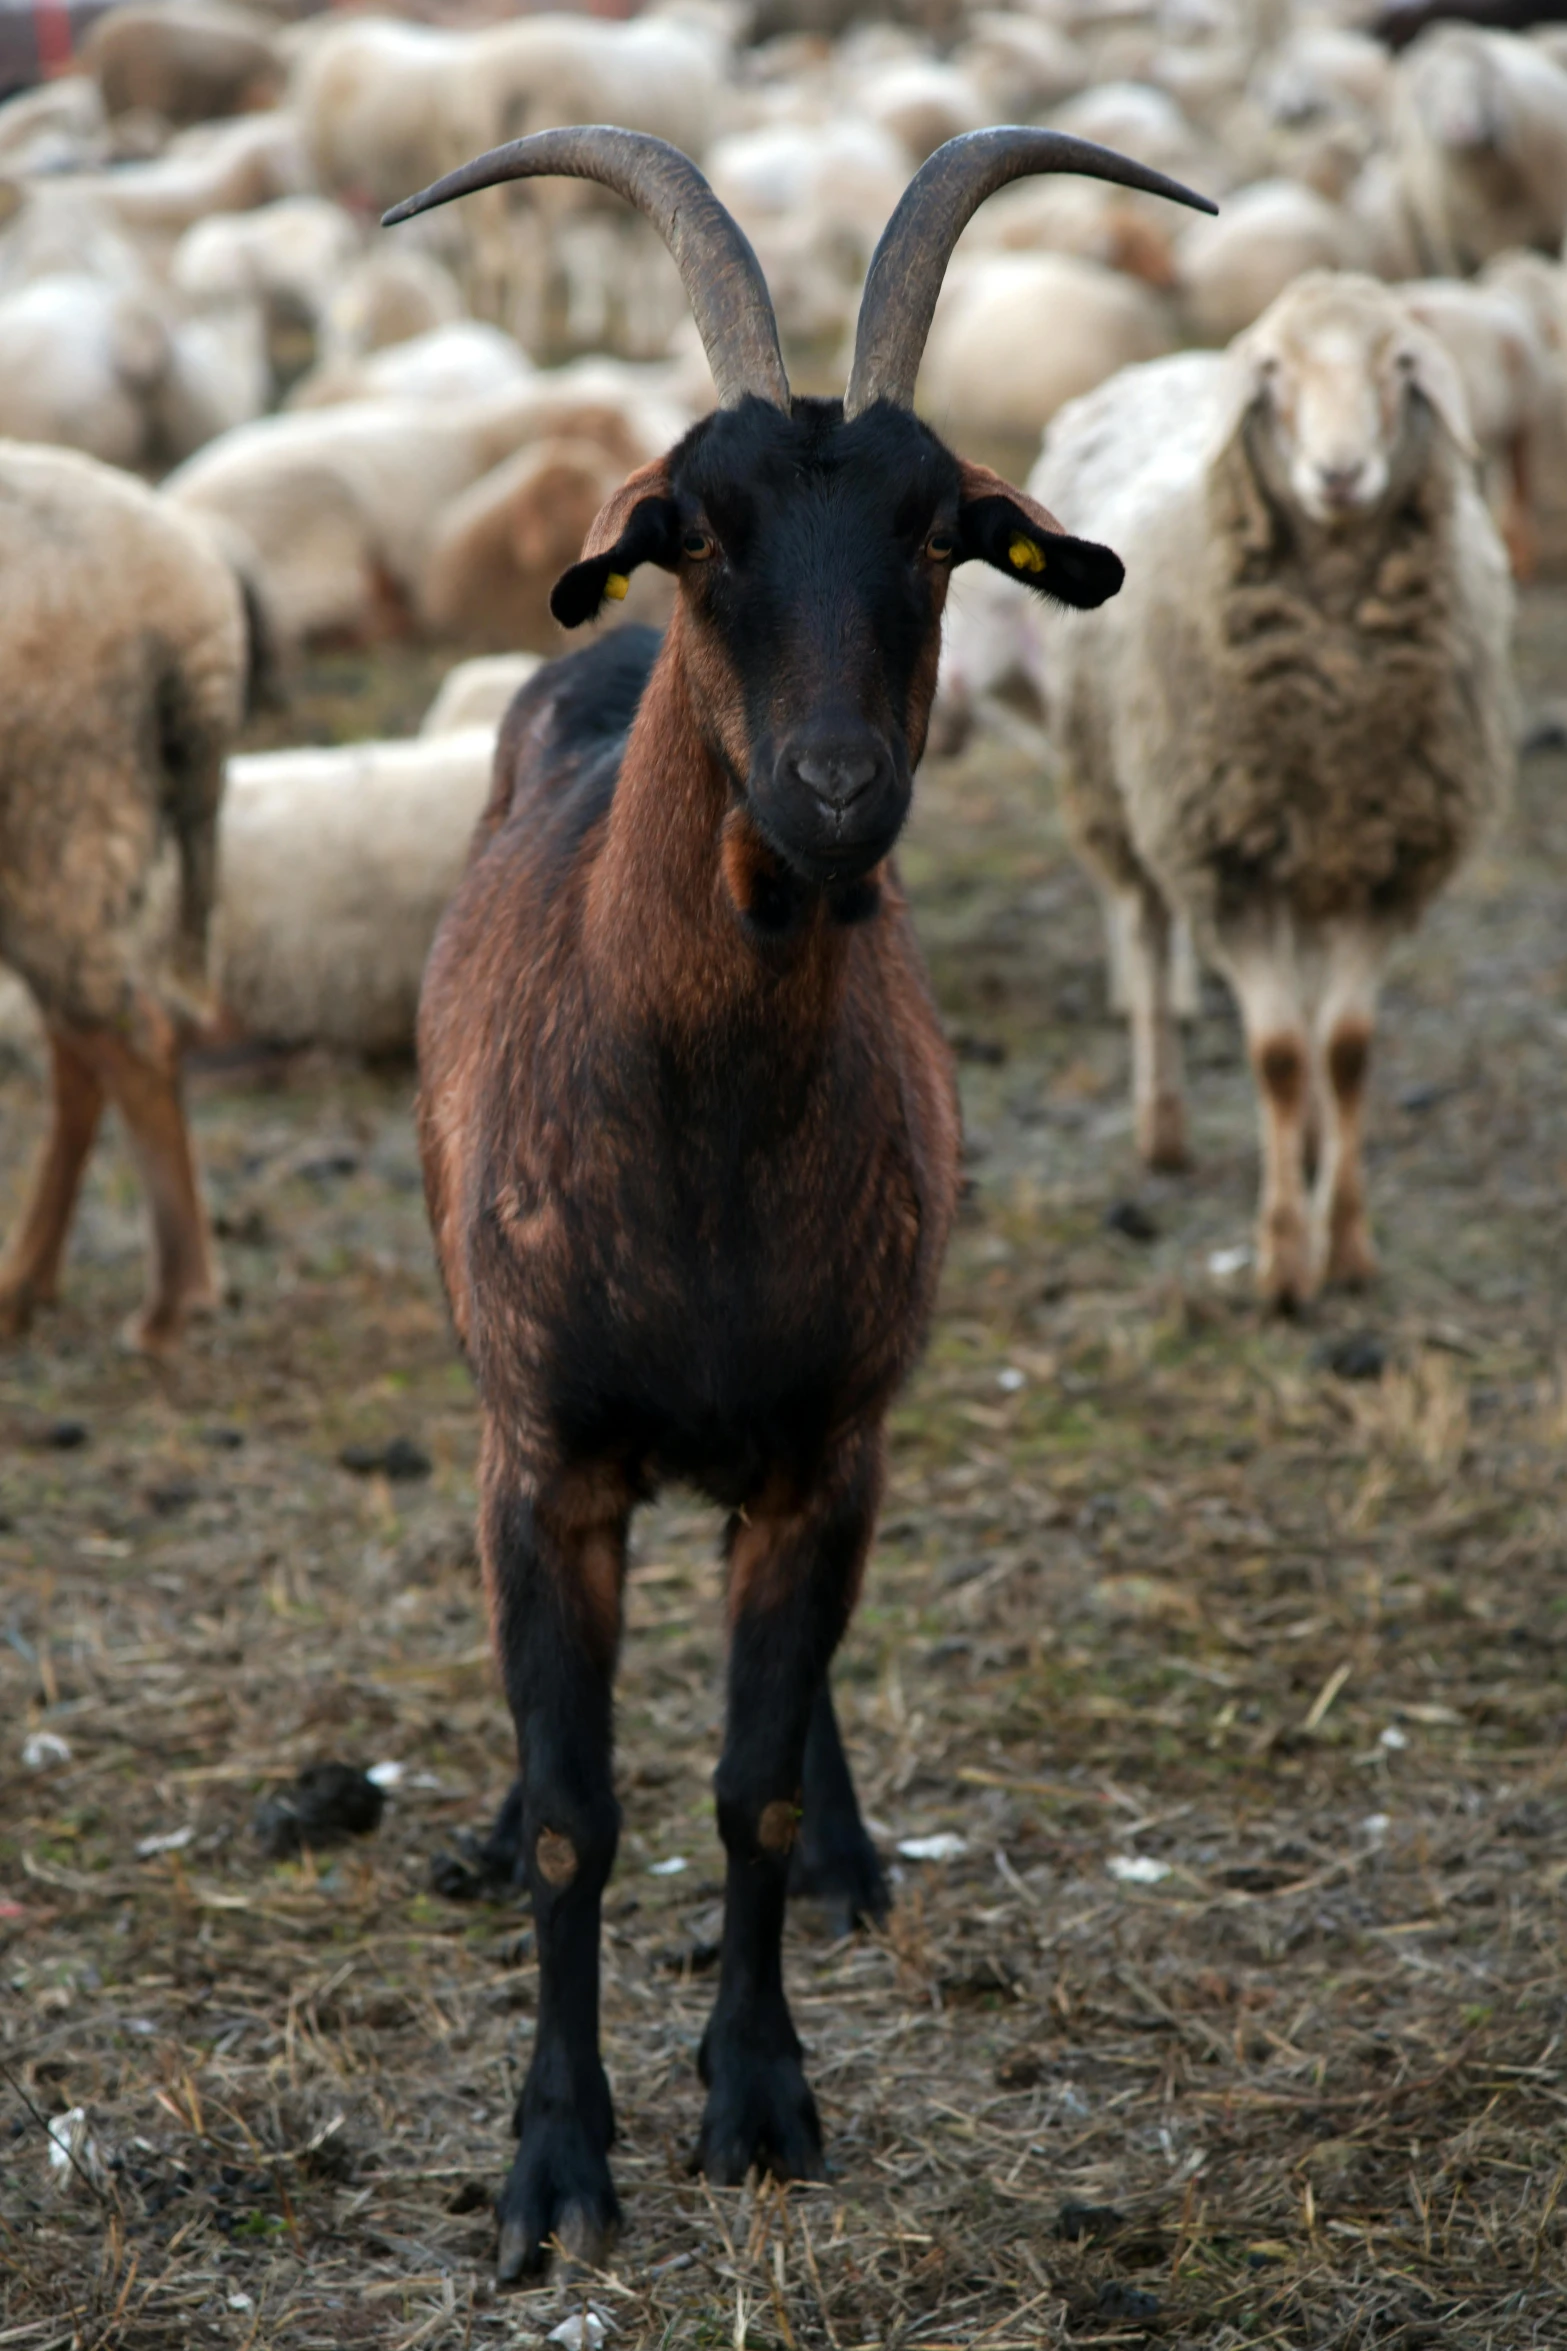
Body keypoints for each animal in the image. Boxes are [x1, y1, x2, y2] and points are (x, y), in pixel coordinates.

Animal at [382, 124, 1212, 2275]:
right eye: (697, 526)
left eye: (945, 533)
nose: (838, 791)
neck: (703, 1147)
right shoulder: (548, 1456)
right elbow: (580, 1805)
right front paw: (553, 2164)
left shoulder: (828, 1443)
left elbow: (745, 1778)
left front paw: (756, 2093)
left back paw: (848, 1854)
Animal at [1033, 275, 1512, 1316]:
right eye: (1273, 372)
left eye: (1398, 365)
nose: (1338, 474)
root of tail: (1167, 361)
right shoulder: (1226, 865)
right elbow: (1281, 1056)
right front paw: (1284, 1264)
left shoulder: (1384, 867)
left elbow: (1344, 1050)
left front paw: (1348, 1243)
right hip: (1117, 793)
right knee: (1144, 934)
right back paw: (1161, 1126)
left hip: (1313, 855)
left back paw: (1307, 1143)